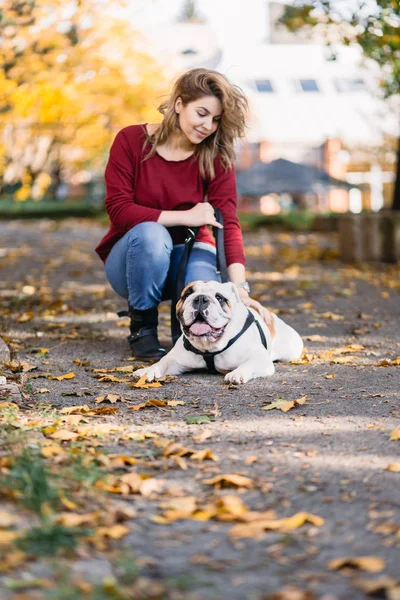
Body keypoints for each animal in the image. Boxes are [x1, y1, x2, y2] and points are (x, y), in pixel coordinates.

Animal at [132, 282, 304, 384]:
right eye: (187, 294)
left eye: (219, 298)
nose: (201, 298)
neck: (209, 347)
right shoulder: (175, 360)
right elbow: (161, 363)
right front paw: (147, 370)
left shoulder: (260, 359)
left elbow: (248, 364)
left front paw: (237, 374)